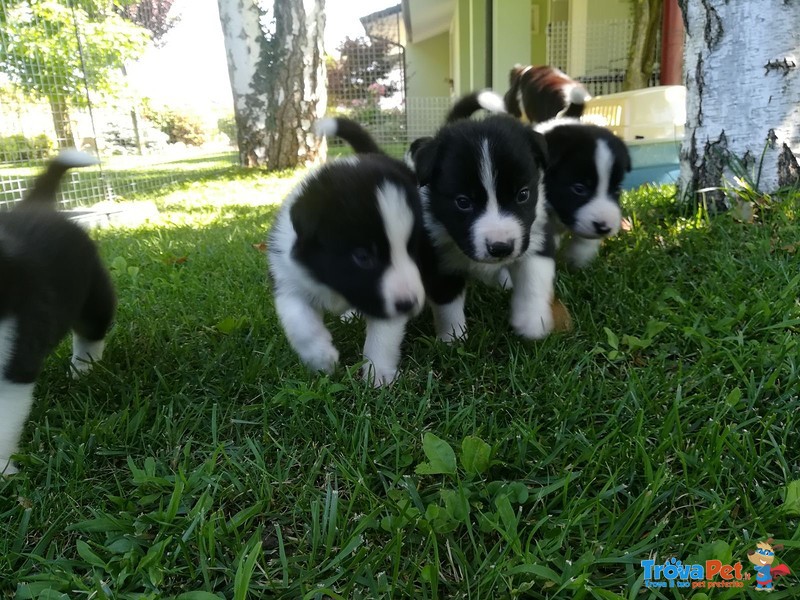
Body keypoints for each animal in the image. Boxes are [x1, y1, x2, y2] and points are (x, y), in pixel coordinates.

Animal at [268, 119, 424, 386]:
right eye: (362, 257)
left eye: (412, 248)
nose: (409, 304)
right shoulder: (290, 276)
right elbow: (298, 320)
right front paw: (321, 358)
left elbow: (383, 336)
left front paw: (378, 374)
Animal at [406, 112, 556, 340]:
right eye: (463, 202)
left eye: (523, 194)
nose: (501, 248)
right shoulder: (437, 257)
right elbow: (447, 303)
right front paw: (452, 338)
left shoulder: (536, 234)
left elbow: (533, 278)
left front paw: (531, 322)